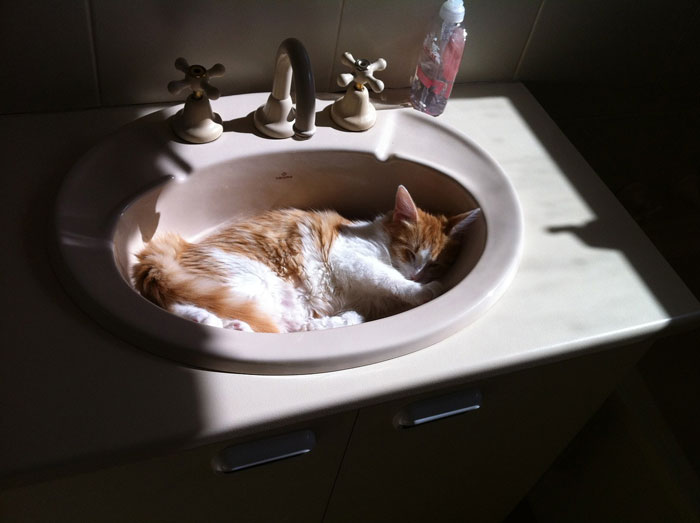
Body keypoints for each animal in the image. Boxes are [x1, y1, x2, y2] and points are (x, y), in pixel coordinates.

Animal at [131, 187, 482, 336]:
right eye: (409, 252)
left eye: (435, 263)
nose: (420, 275)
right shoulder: (351, 257)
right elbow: (388, 277)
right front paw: (421, 290)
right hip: (250, 281)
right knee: (183, 306)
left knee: (287, 326)